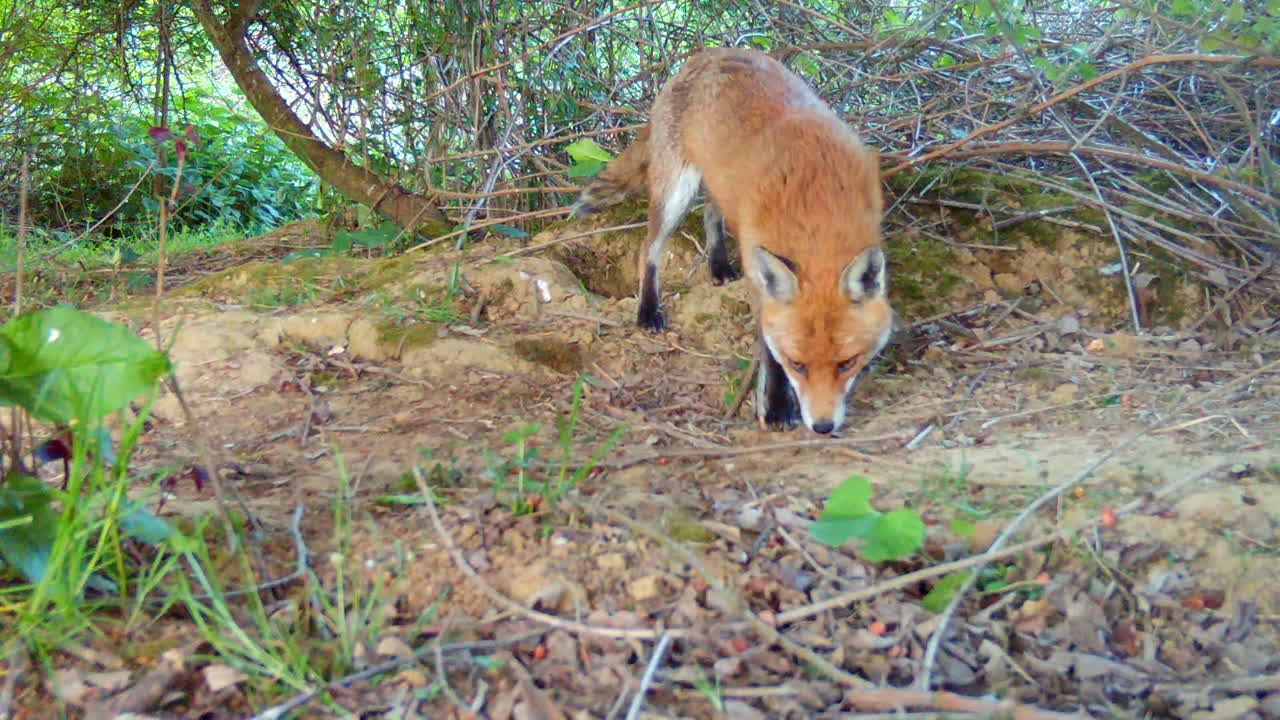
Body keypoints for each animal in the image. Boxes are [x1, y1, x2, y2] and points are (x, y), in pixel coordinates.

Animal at [572, 47, 892, 435]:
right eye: (797, 364)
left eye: (846, 362)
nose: (822, 426)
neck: (816, 206)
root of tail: (707, 53)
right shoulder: (760, 276)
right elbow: (768, 350)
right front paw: (776, 407)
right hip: (676, 192)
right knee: (649, 250)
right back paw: (648, 311)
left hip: (717, 186)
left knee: (711, 215)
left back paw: (719, 266)